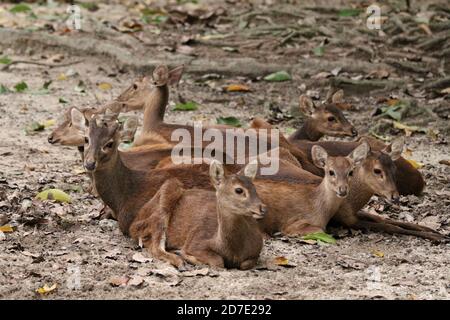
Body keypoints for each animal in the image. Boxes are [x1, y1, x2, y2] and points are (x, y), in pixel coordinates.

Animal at [128, 160, 266, 270]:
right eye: (238, 190)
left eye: (254, 188)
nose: (263, 208)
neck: (233, 251)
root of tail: (134, 223)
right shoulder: (196, 242)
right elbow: (218, 262)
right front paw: (186, 255)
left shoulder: (256, 251)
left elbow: (245, 264)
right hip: (169, 190)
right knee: (155, 246)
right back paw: (179, 261)